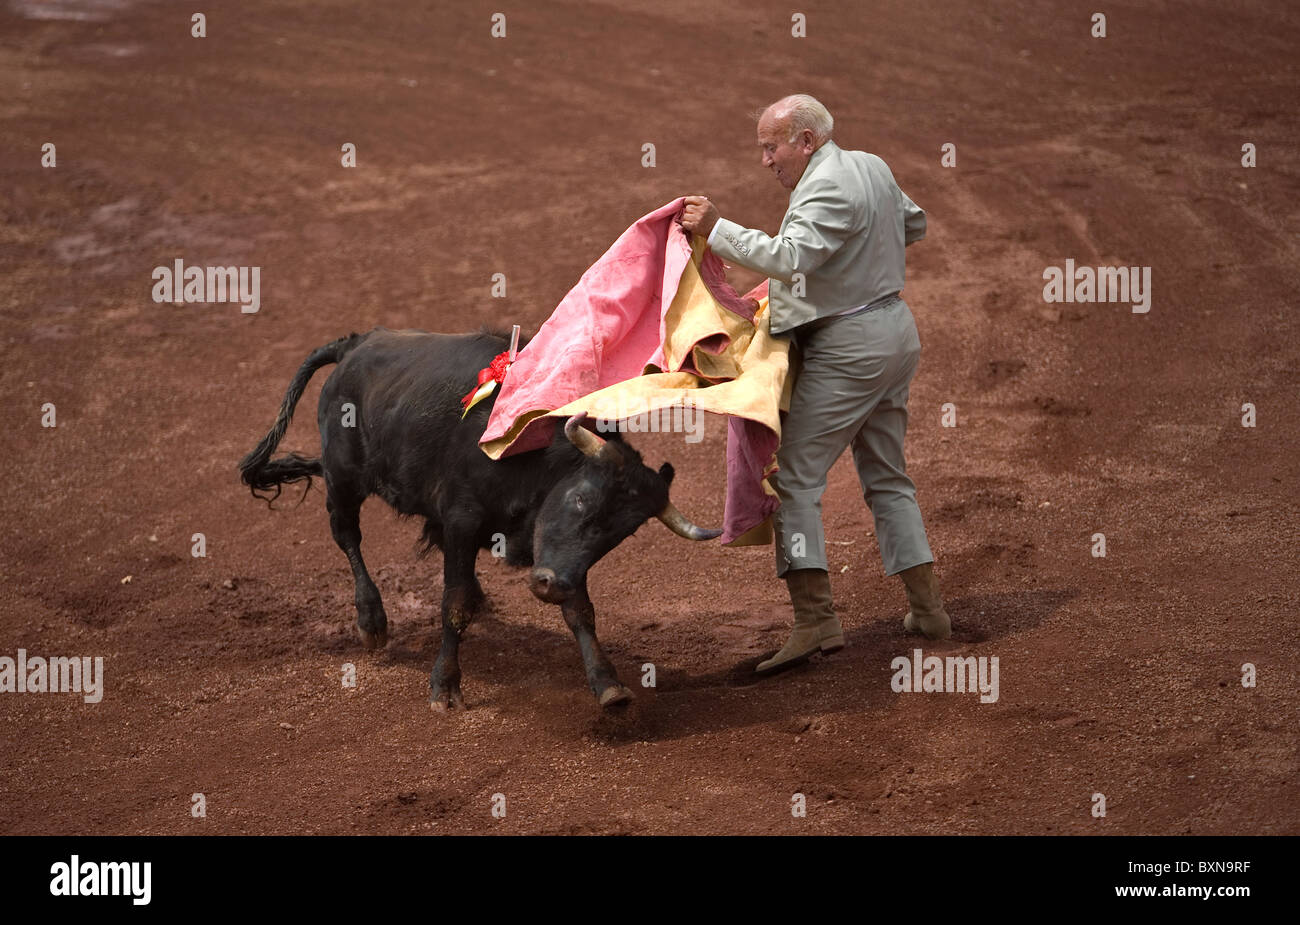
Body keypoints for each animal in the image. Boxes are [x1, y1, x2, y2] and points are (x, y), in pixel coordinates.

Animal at [241, 324, 722, 706]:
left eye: (622, 534)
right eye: (581, 499)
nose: (549, 585)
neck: (527, 452)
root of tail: (356, 344)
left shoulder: (557, 556)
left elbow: (580, 610)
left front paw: (608, 686)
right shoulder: (462, 521)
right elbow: (452, 604)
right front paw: (445, 687)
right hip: (342, 478)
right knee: (347, 536)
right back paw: (371, 621)